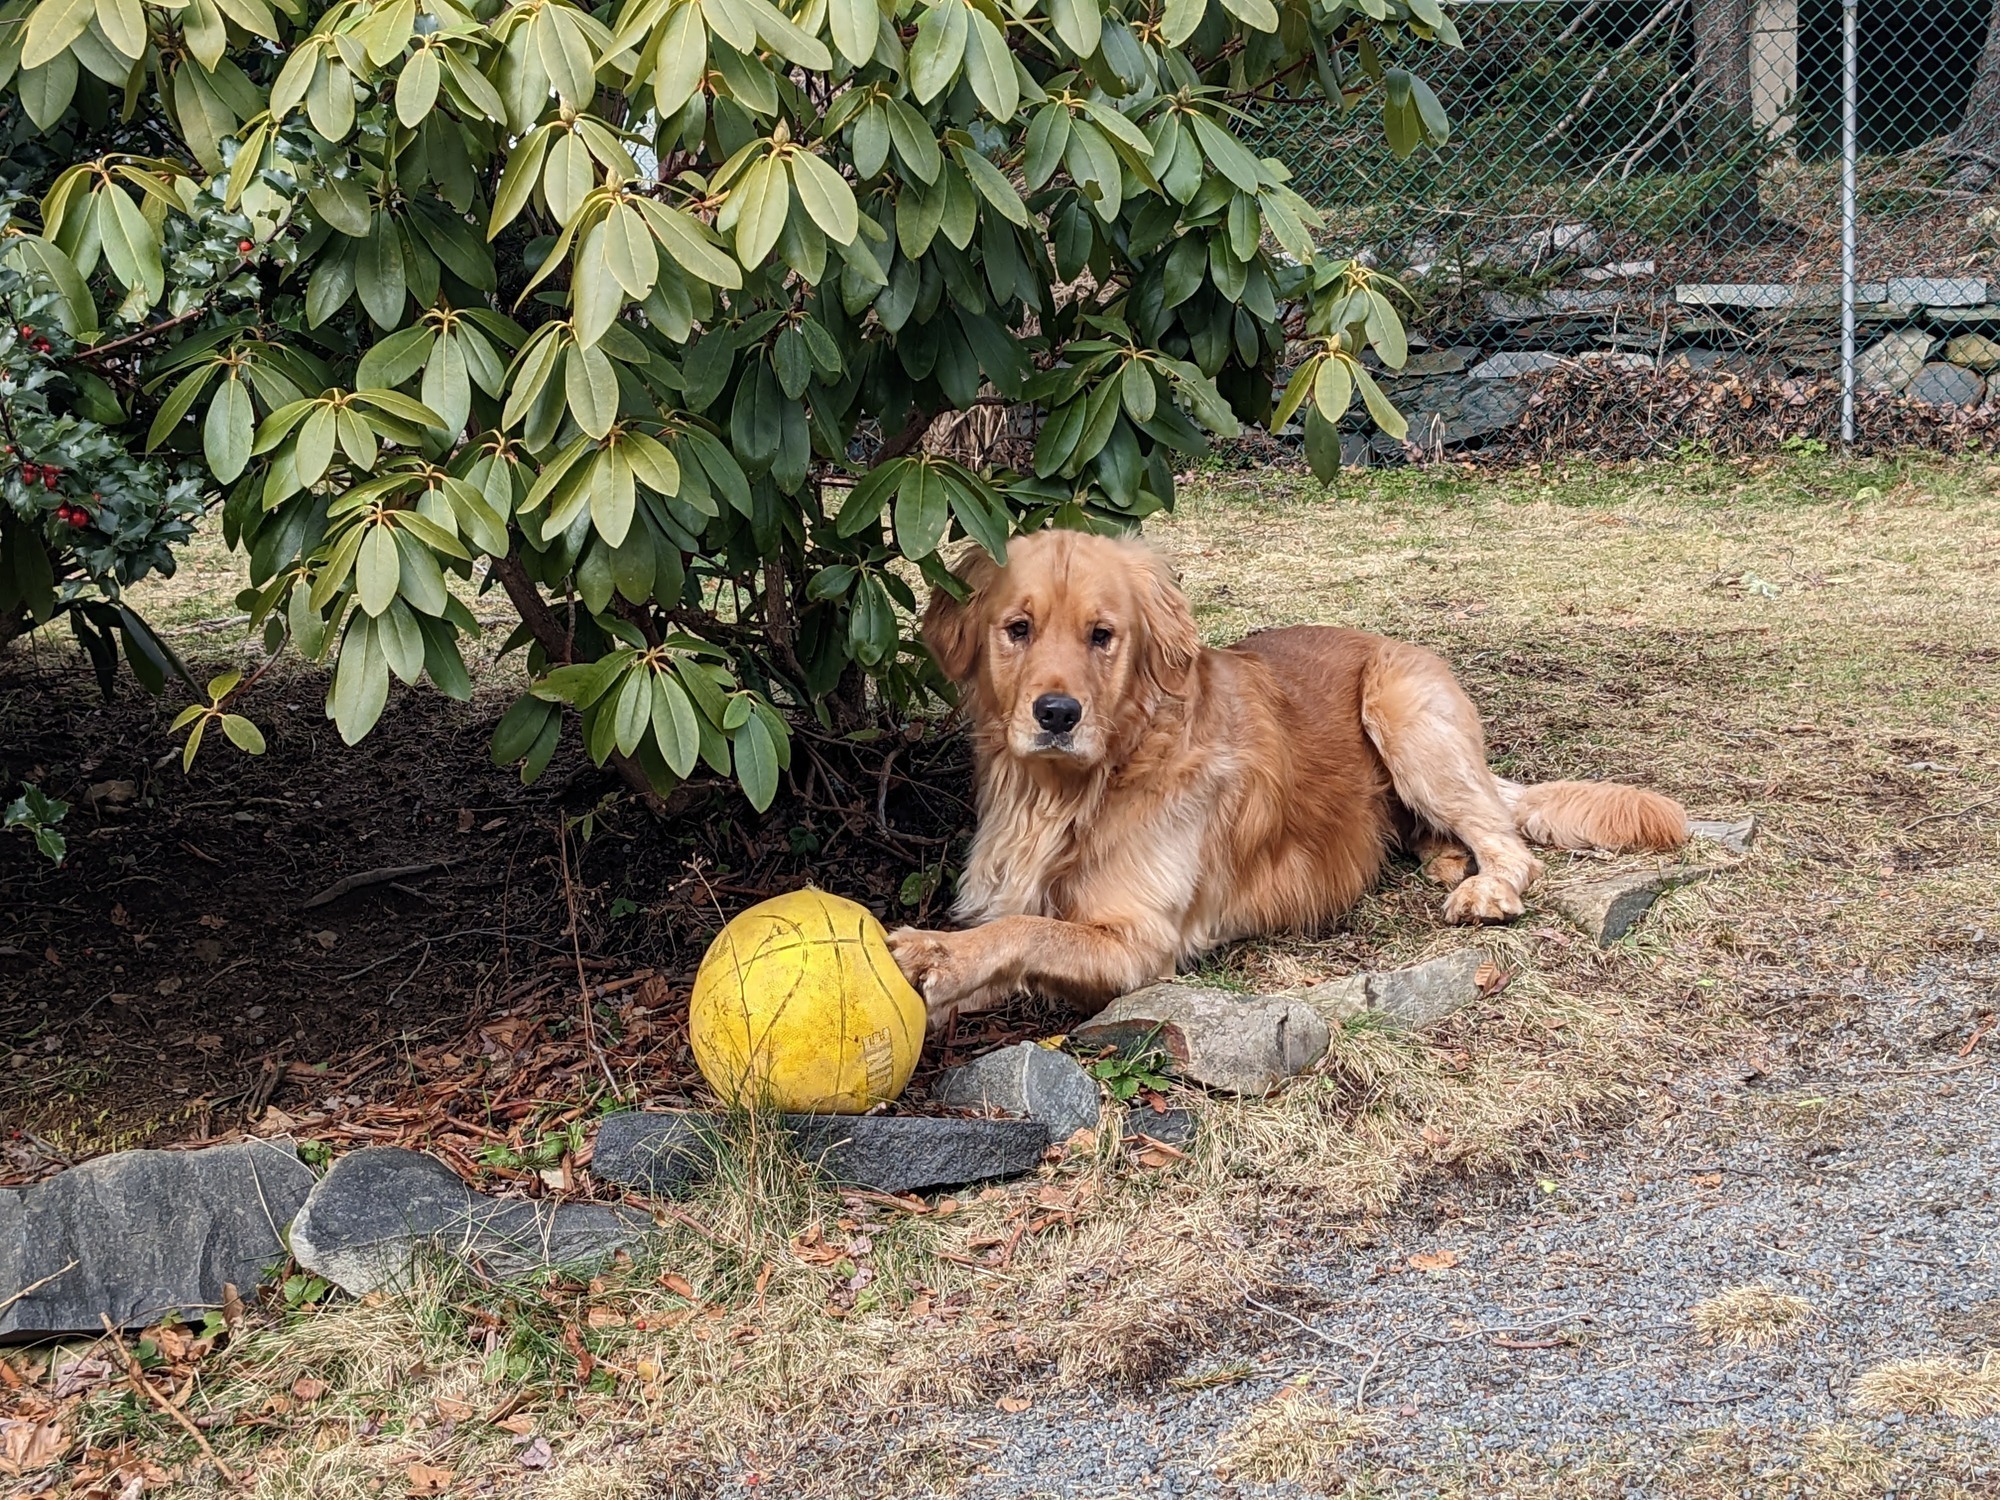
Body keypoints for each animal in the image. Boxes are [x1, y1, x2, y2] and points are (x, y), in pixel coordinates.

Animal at [892, 528, 1688, 1032]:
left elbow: (1027, 931)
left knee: (1511, 843)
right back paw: (1441, 856)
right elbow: (1010, 930)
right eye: (1018, 628)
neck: (1078, 789)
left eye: (1103, 636)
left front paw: (934, 952)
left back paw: (1483, 886)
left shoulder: (1139, 943)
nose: (1057, 714)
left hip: (1403, 711)